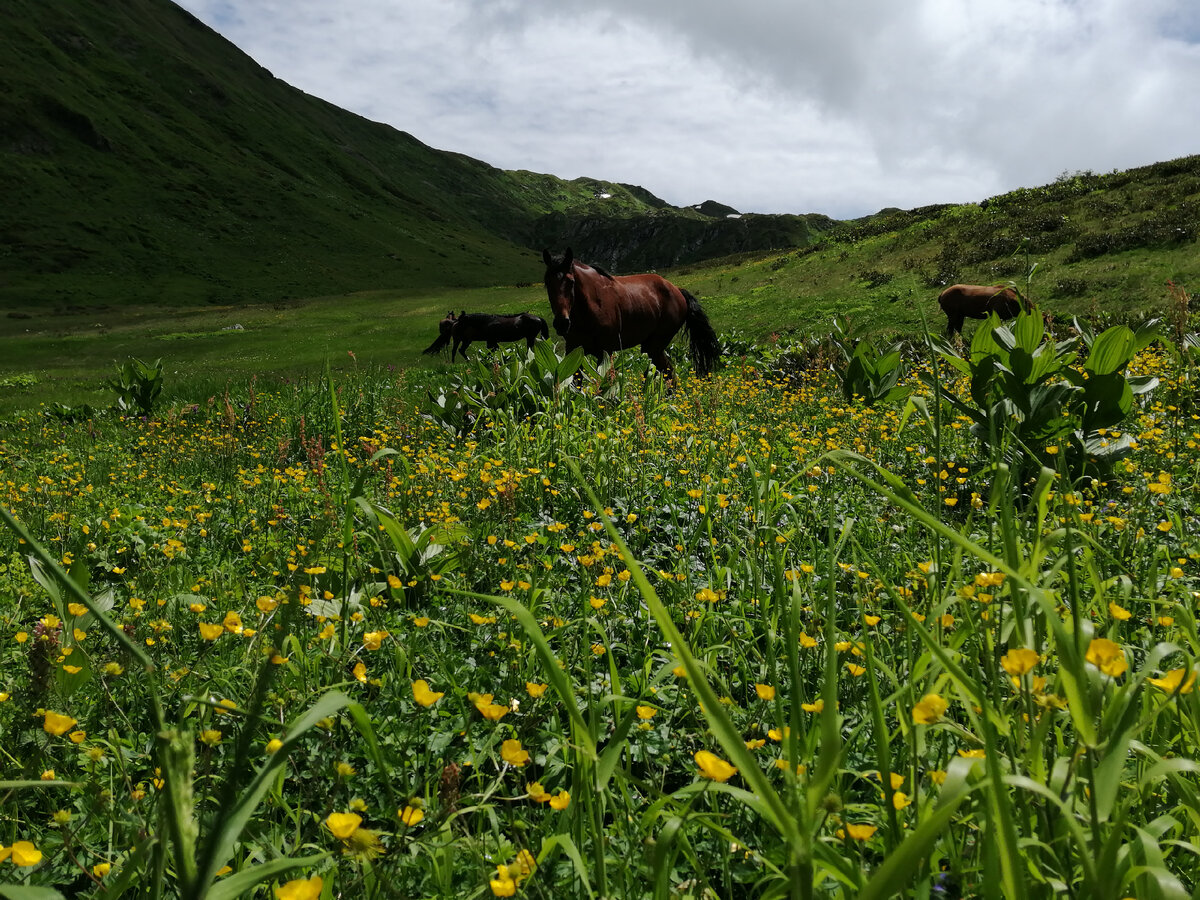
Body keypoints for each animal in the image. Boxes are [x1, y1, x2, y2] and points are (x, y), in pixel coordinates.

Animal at [544, 250, 720, 381]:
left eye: (571, 282)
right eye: (547, 283)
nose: (561, 323)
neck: (590, 309)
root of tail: (677, 290)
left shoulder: (605, 352)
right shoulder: (574, 352)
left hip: (654, 346)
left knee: (665, 372)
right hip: (651, 348)